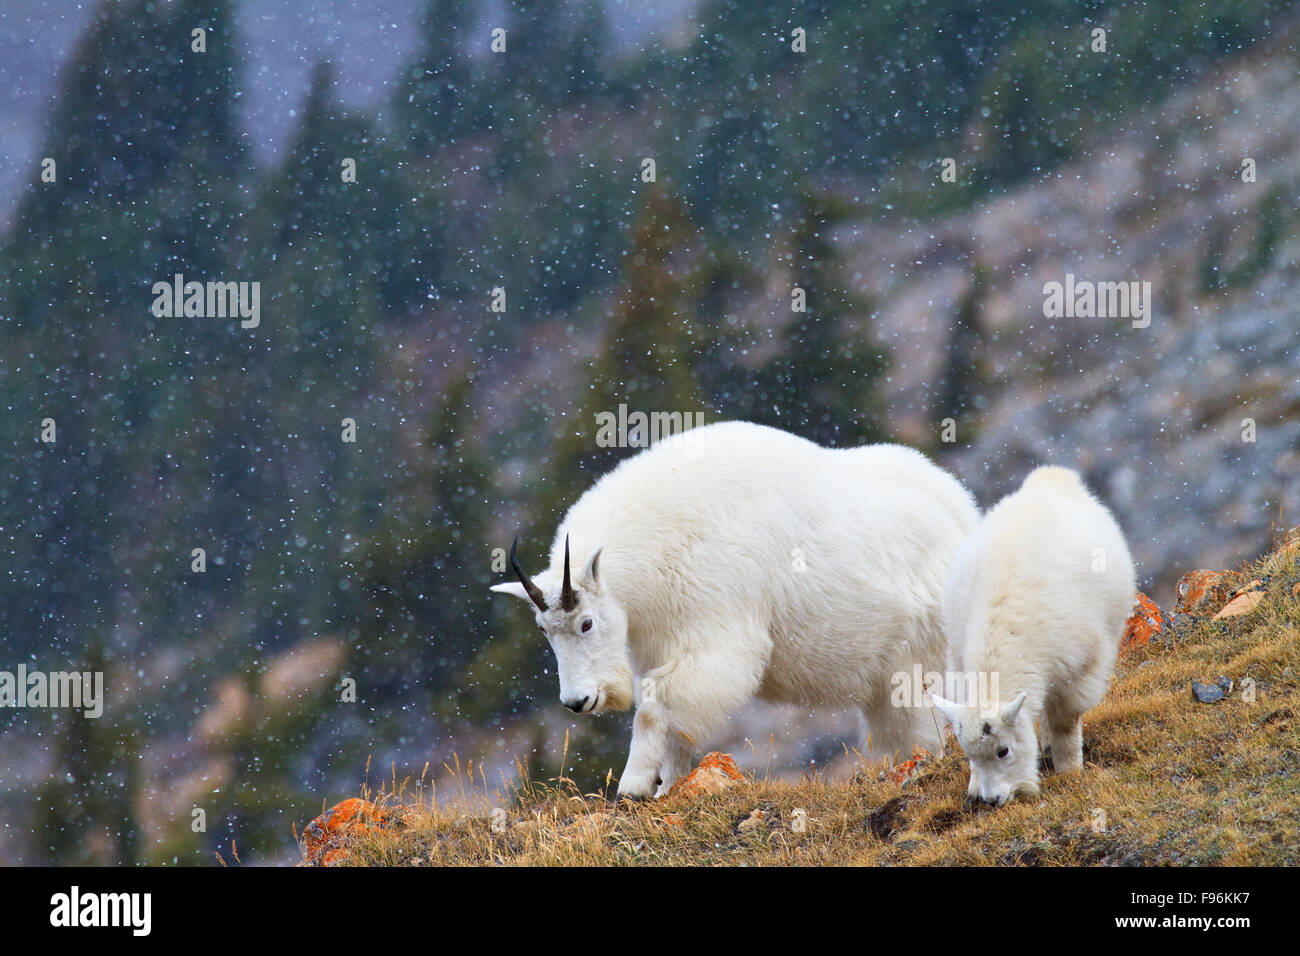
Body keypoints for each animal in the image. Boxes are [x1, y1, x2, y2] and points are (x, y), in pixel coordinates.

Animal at [488, 421, 977, 801]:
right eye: (545, 631)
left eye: (586, 623)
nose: (578, 702)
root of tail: (966, 518)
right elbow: (672, 722)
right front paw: (668, 785)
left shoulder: (715, 633)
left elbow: (656, 704)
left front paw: (634, 785)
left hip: (916, 661)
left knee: (922, 726)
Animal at [935, 468, 1138, 806]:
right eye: (971, 755)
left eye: (1003, 751)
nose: (993, 799)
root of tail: (1053, 477)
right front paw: (974, 785)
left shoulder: (1078, 670)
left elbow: (1065, 722)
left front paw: (1069, 771)